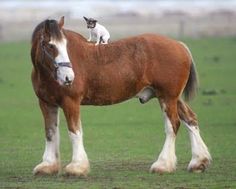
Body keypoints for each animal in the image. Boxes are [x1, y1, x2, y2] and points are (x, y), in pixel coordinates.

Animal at [30, 17, 211, 176]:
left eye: (66, 46)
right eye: (50, 45)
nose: (69, 77)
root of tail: (179, 45)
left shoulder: (70, 102)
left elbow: (74, 132)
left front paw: (77, 167)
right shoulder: (46, 103)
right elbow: (50, 132)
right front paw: (48, 166)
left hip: (167, 98)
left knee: (173, 124)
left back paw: (163, 164)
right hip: (172, 98)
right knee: (190, 119)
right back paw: (198, 161)